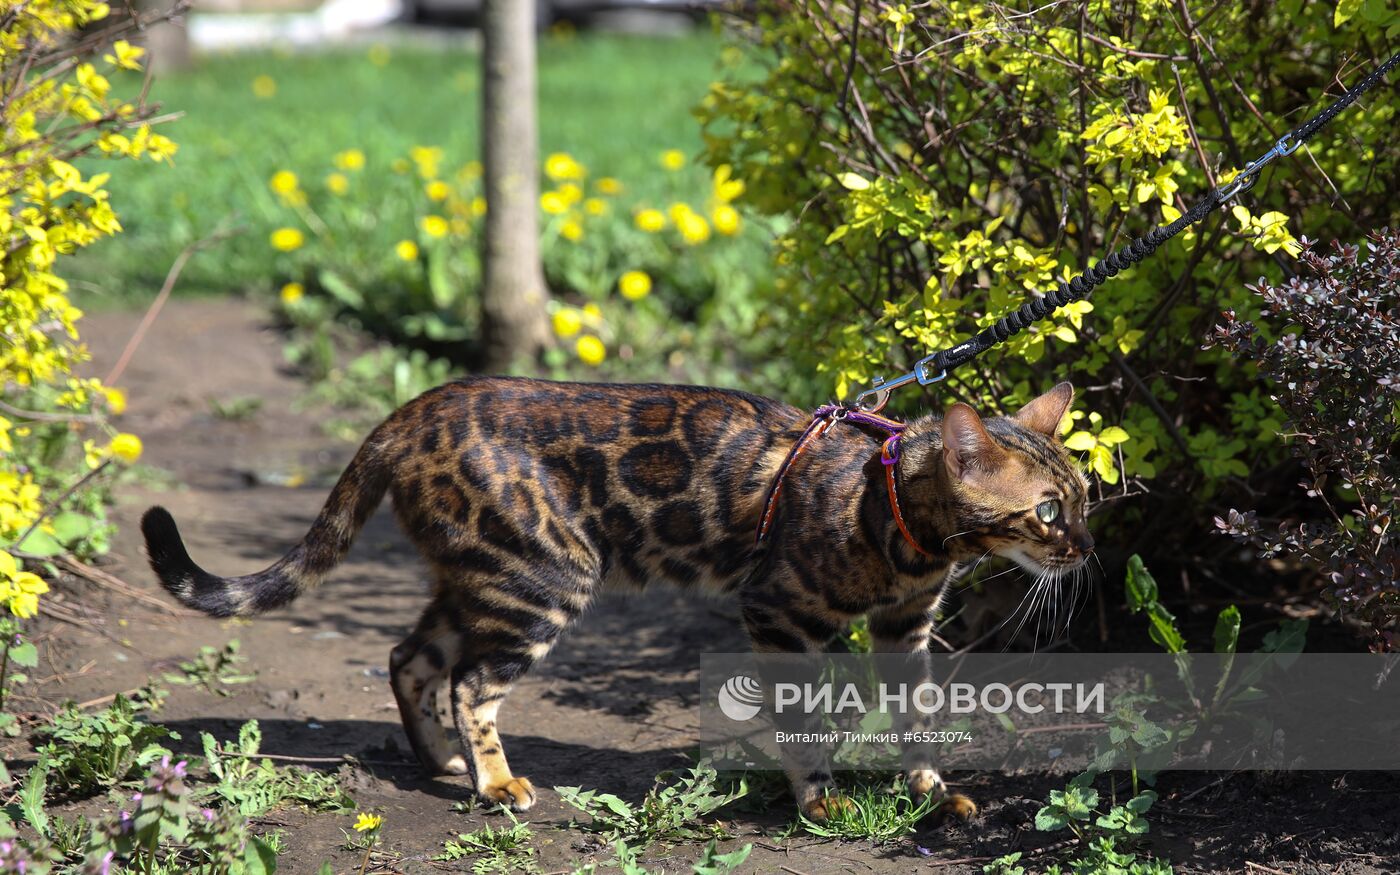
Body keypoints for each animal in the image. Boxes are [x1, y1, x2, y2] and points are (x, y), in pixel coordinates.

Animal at [147, 375, 1097, 817]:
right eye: (1049, 511)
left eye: (1084, 498)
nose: (1087, 548)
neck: (891, 513)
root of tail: (412, 408)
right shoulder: (782, 613)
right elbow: (804, 722)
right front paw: (820, 799)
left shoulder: (907, 628)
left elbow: (919, 719)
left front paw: (932, 792)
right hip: (543, 576)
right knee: (467, 680)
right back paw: (495, 781)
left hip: (483, 574)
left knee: (410, 655)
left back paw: (443, 762)